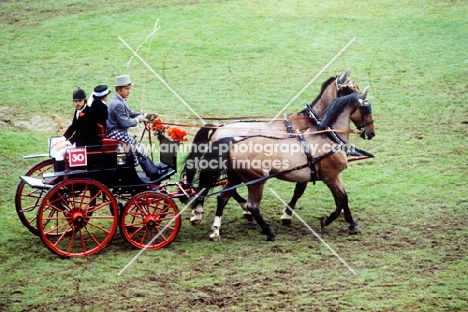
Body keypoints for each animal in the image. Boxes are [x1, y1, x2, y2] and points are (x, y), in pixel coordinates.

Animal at [185, 92, 374, 241]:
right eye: (366, 109)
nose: (371, 133)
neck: (328, 136)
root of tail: (232, 141)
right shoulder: (331, 177)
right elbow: (340, 199)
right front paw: (326, 220)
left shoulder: (332, 177)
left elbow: (343, 198)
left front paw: (352, 224)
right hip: (256, 181)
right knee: (252, 206)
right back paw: (268, 232)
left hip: (235, 178)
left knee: (223, 197)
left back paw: (216, 230)